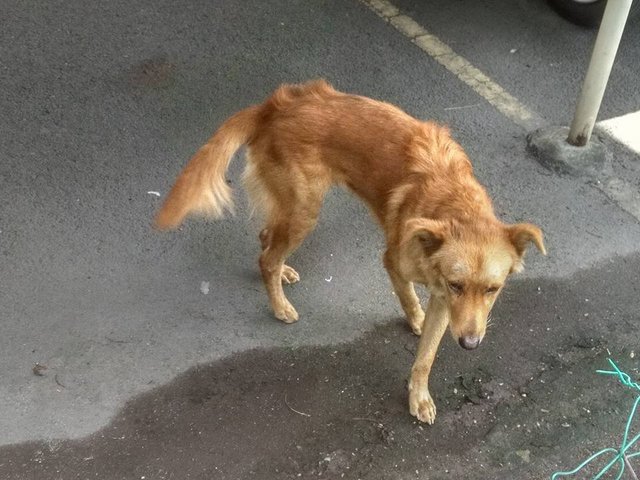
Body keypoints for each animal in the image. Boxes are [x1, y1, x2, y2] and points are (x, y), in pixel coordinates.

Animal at [156, 80, 544, 426]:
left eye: (493, 289)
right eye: (457, 285)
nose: (470, 344)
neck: (452, 204)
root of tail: (276, 105)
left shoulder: (441, 301)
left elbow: (426, 357)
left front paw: (419, 396)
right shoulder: (397, 265)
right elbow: (408, 297)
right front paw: (415, 320)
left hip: (291, 208)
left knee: (266, 238)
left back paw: (284, 272)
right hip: (305, 210)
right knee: (266, 257)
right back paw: (280, 305)